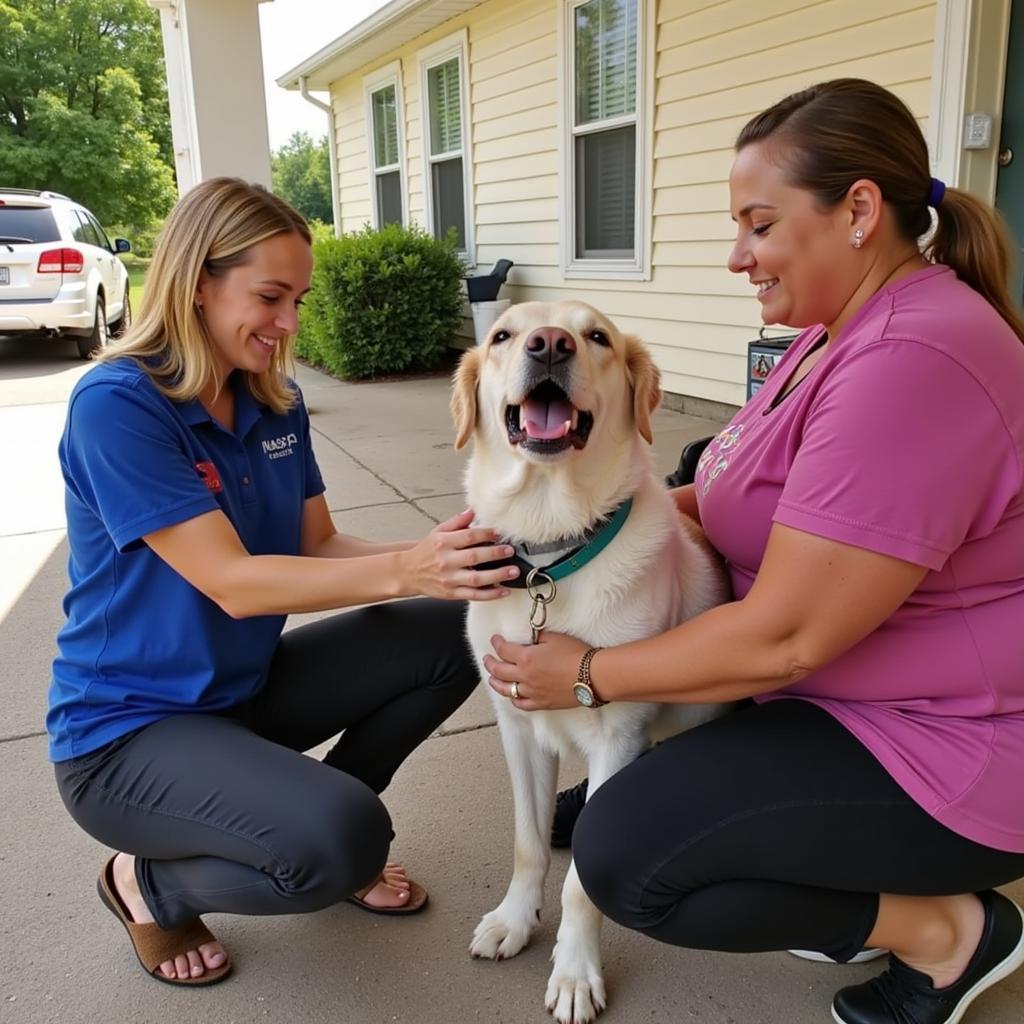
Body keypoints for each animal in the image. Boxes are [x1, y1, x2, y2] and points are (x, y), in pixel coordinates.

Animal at [452, 301, 733, 1024]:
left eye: (597, 336)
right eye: (503, 335)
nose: (549, 344)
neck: (551, 553)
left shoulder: (618, 736)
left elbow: (582, 882)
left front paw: (575, 973)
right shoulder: (517, 726)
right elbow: (527, 842)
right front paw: (515, 921)